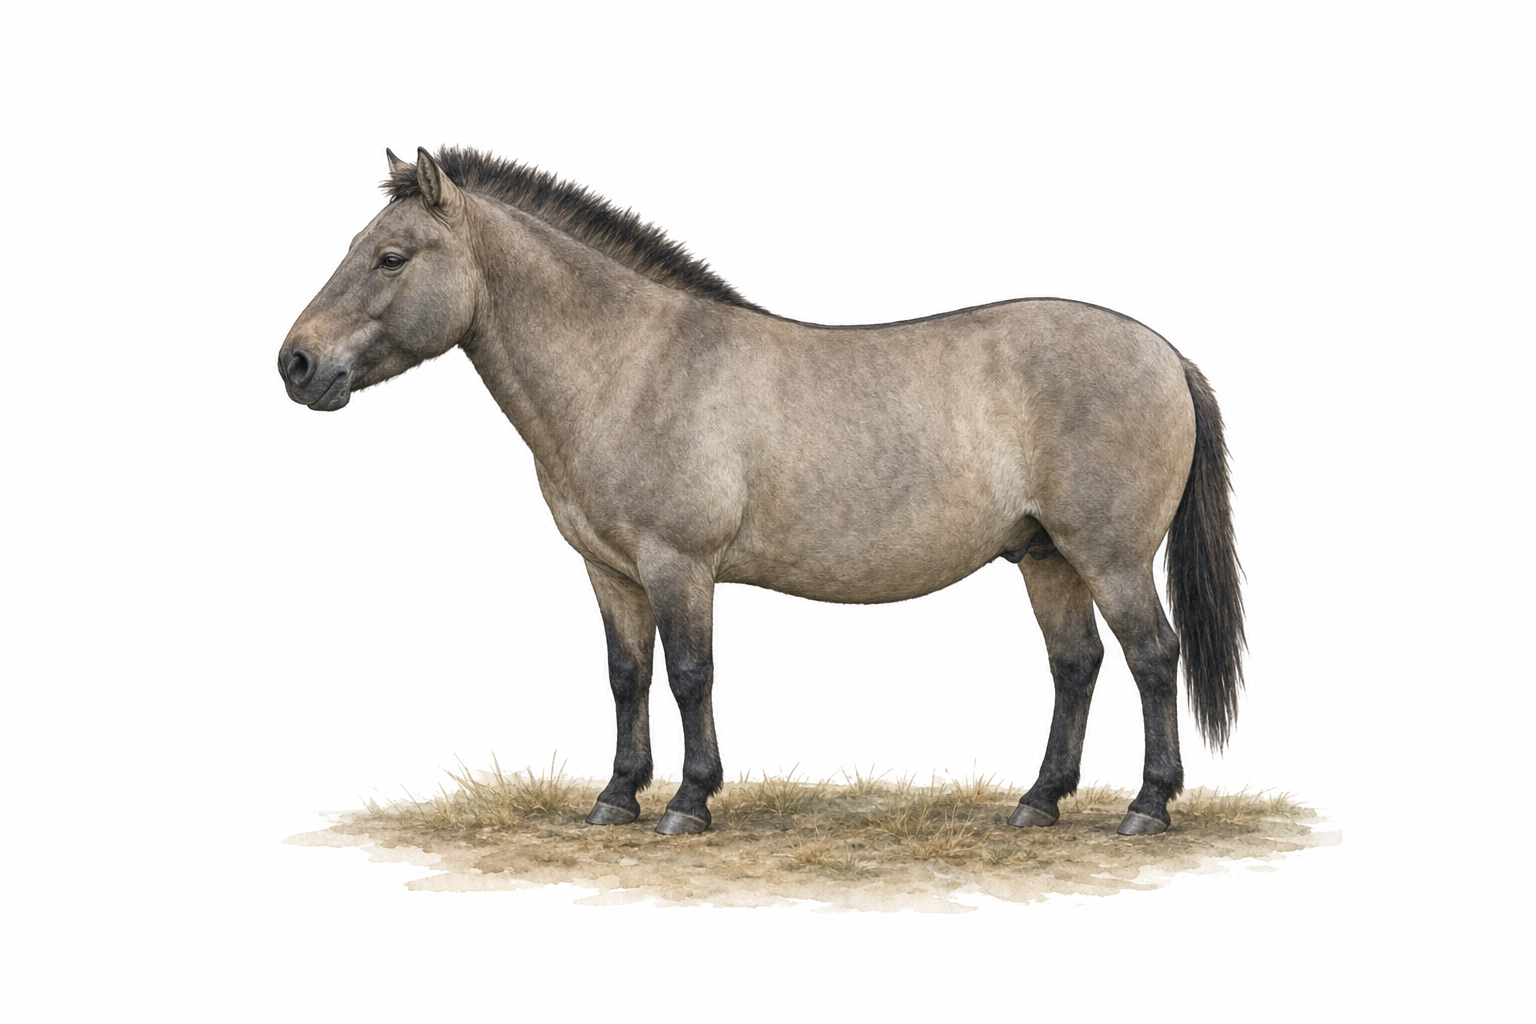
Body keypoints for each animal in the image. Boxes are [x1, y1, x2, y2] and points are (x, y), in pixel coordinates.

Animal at [278, 147, 1244, 837]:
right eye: (355, 248)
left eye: (391, 256)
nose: (296, 364)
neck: (631, 364)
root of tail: (1165, 352)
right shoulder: (610, 571)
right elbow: (627, 675)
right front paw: (615, 798)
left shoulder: (679, 565)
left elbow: (689, 674)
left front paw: (687, 803)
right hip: (1045, 558)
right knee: (1075, 665)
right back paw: (1038, 803)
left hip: (1109, 557)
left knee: (1153, 657)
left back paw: (1147, 808)